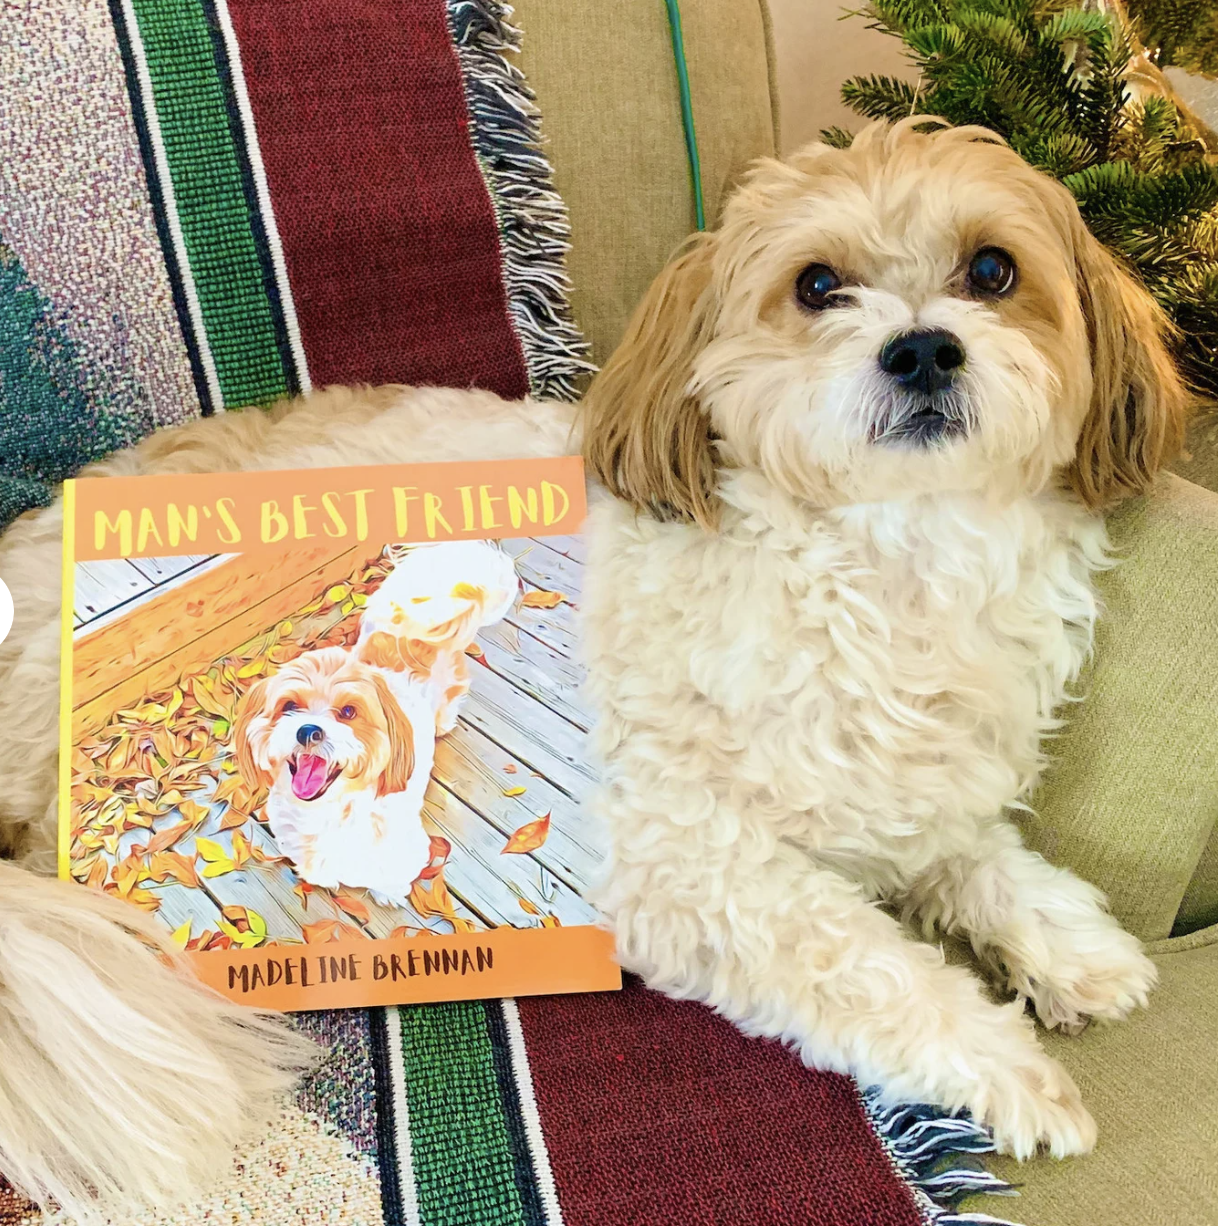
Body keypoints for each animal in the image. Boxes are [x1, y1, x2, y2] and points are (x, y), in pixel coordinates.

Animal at [0, 117, 1187, 1216]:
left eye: (993, 271)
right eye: (817, 286)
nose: (924, 348)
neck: (888, 562)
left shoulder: (911, 787)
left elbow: (973, 854)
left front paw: (1070, 945)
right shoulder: (689, 863)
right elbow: (867, 961)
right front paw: (1015, 1071)